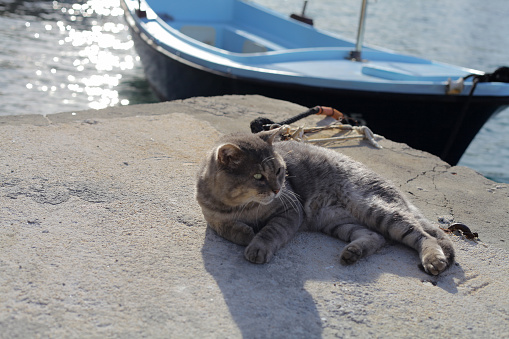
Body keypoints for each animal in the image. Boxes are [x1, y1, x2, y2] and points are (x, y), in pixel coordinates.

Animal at [194, 130, 452, 276]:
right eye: (258, 176)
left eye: (278, 171)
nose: (277, 189)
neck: (241, 206)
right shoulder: (212, 216)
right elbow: (224, 227)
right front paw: (245, 232)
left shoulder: (290, 210)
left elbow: (270, 231)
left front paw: (257, 245)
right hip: (339, 223)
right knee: (376, 237)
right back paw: (353, 252)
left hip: (378, 209)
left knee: (423, 236)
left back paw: (433, 259)